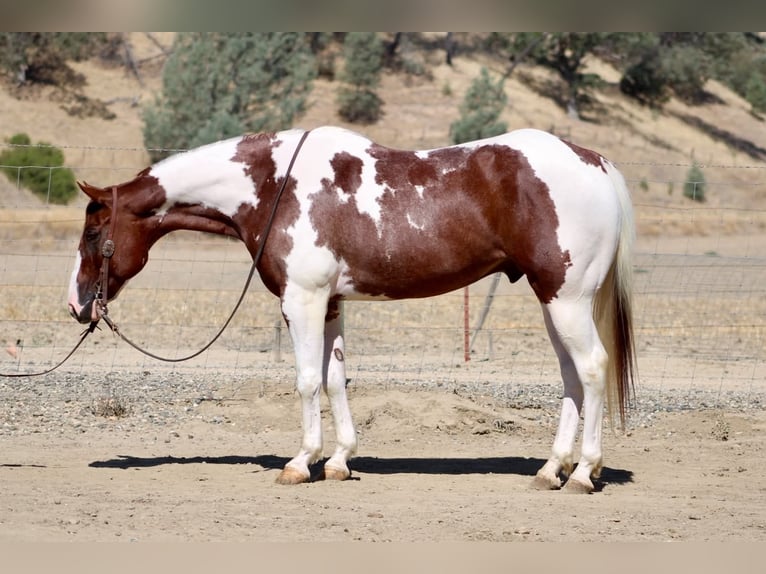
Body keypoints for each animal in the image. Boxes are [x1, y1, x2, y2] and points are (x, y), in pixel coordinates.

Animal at [68, 126, 636, 493]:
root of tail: (596, 163)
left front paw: (301, 463)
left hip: (567, 300)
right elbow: (335, 379)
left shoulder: (301, 301)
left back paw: (582, 473)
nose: (76, 304)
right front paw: (339, 461)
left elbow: (305, 381)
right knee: (571, 378)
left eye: (94, 232)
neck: (276, 186)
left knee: (591, 369)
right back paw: (551, 470)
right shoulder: (331, 303)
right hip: (554, 302)